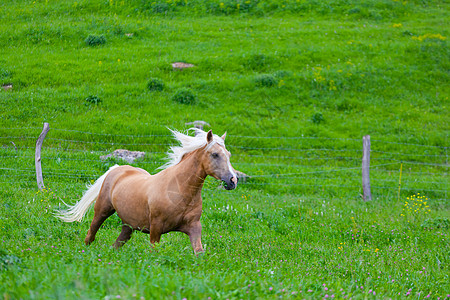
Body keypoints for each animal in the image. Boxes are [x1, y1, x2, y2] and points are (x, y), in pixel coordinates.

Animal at [56, 127, 239, 254]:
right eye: (215, 154)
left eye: (229, 154)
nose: (232, 181)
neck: (179, 191)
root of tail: (116, 168)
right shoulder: (156, 227)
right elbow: (154, 251)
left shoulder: (194, 227)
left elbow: (199, 252)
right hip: (102, 210)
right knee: (91, 234)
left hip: (128, 225)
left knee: (117, 243)